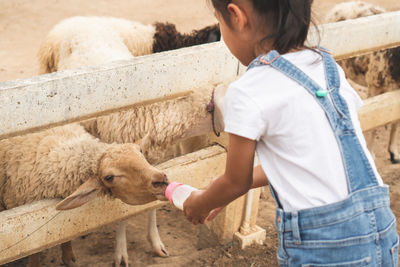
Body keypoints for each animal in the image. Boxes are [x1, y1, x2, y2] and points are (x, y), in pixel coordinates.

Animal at [0, 123, 170, 267]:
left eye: (140, 152)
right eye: (109, 177)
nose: (161, 180)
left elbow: (66, 234)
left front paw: (68, 257)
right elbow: (35, 251)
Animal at [36, 16, 223, 267]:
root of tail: (75, 20)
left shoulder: (151, 164)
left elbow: (154, 201)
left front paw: (156, 243)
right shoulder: (117, 166)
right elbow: (123, 213)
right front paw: (121, 254)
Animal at [324, 1, 400, 163]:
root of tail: (342, 5)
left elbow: (395, 120)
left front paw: (394, 153)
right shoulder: (374, 86)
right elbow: (374, 121)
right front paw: (371, 154)